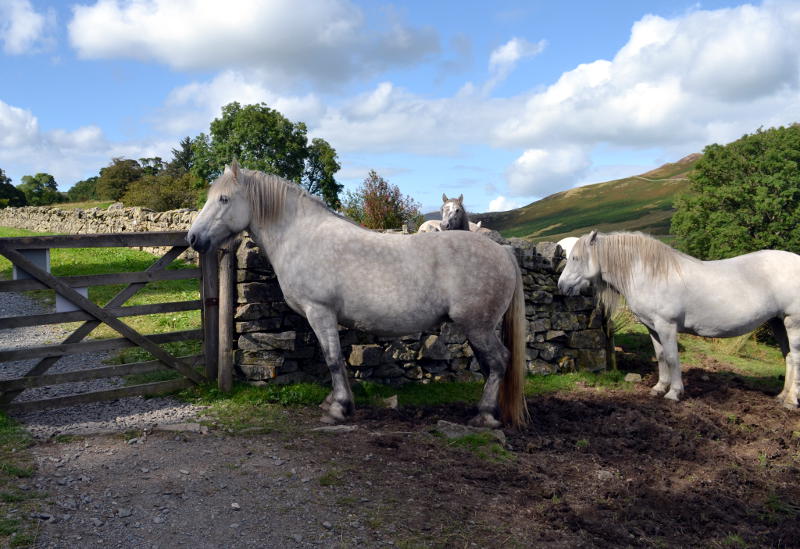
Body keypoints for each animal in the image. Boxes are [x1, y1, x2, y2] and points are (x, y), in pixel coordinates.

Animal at [184, 161, 528, 426]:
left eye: (224, 199)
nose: (193, 238)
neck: (301, 236)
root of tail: (503, 251)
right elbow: (333, 360)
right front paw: (333, 401)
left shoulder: (320, 311)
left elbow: (333, 360)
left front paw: (338, 409)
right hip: (477, 328)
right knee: (491, 365)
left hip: (477, 325)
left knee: (499, 361)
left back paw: (485, 416)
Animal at [556, 230, 800, 406]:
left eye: (575, 258)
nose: (561, 286)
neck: (650, 274)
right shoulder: (652, 328)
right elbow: (661, 357)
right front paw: (658, 388)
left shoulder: (667, 326)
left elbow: (672, 358)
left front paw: (674, 393)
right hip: (778, 322)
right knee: (788, 357)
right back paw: (781, 397)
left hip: (793, 323)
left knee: (795, 358)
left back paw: (790, 401)